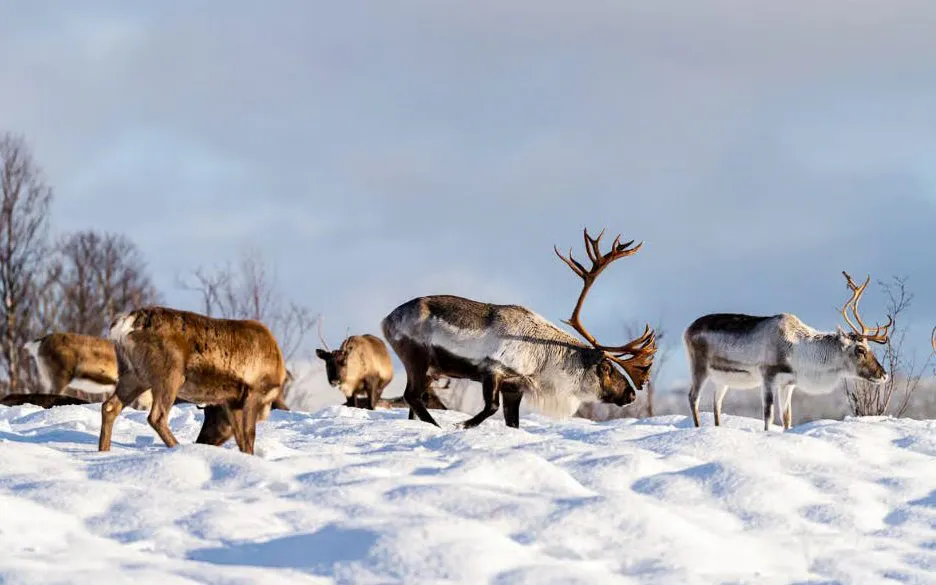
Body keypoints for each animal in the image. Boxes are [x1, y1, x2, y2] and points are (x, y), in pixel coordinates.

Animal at [98, 306, 288, 455]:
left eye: (212, 414)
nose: (202, 440)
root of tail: (127, 323)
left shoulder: (232, 401)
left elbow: (241, 437)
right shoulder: (254, 391)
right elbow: (249, 437)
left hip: (133, 374)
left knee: (109, 406)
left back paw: (103, 451)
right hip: (170, 373)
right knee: (157, 416)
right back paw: (178, 447)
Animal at [381, 228, 657, 429]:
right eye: (607, 368)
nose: (631, 395)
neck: (543, 358)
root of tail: (387, 319)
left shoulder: (514, 387)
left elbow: (512, 421)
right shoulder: (493, 370)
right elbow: (490, 408)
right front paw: (462, 425)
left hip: (432, 369)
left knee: (414, 400)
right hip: (416, 358)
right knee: (412, 396)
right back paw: (436, 426)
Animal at [685, 271, 892, 431]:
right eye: (860, 349)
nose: (884, 374)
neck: (798, 349)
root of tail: (687, 329)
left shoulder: (788, 384)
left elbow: (787, 418)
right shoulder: (768, 377)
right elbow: (768, 415)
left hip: (722, 379)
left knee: (716, 402)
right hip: (699, 367)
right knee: (693, 397)